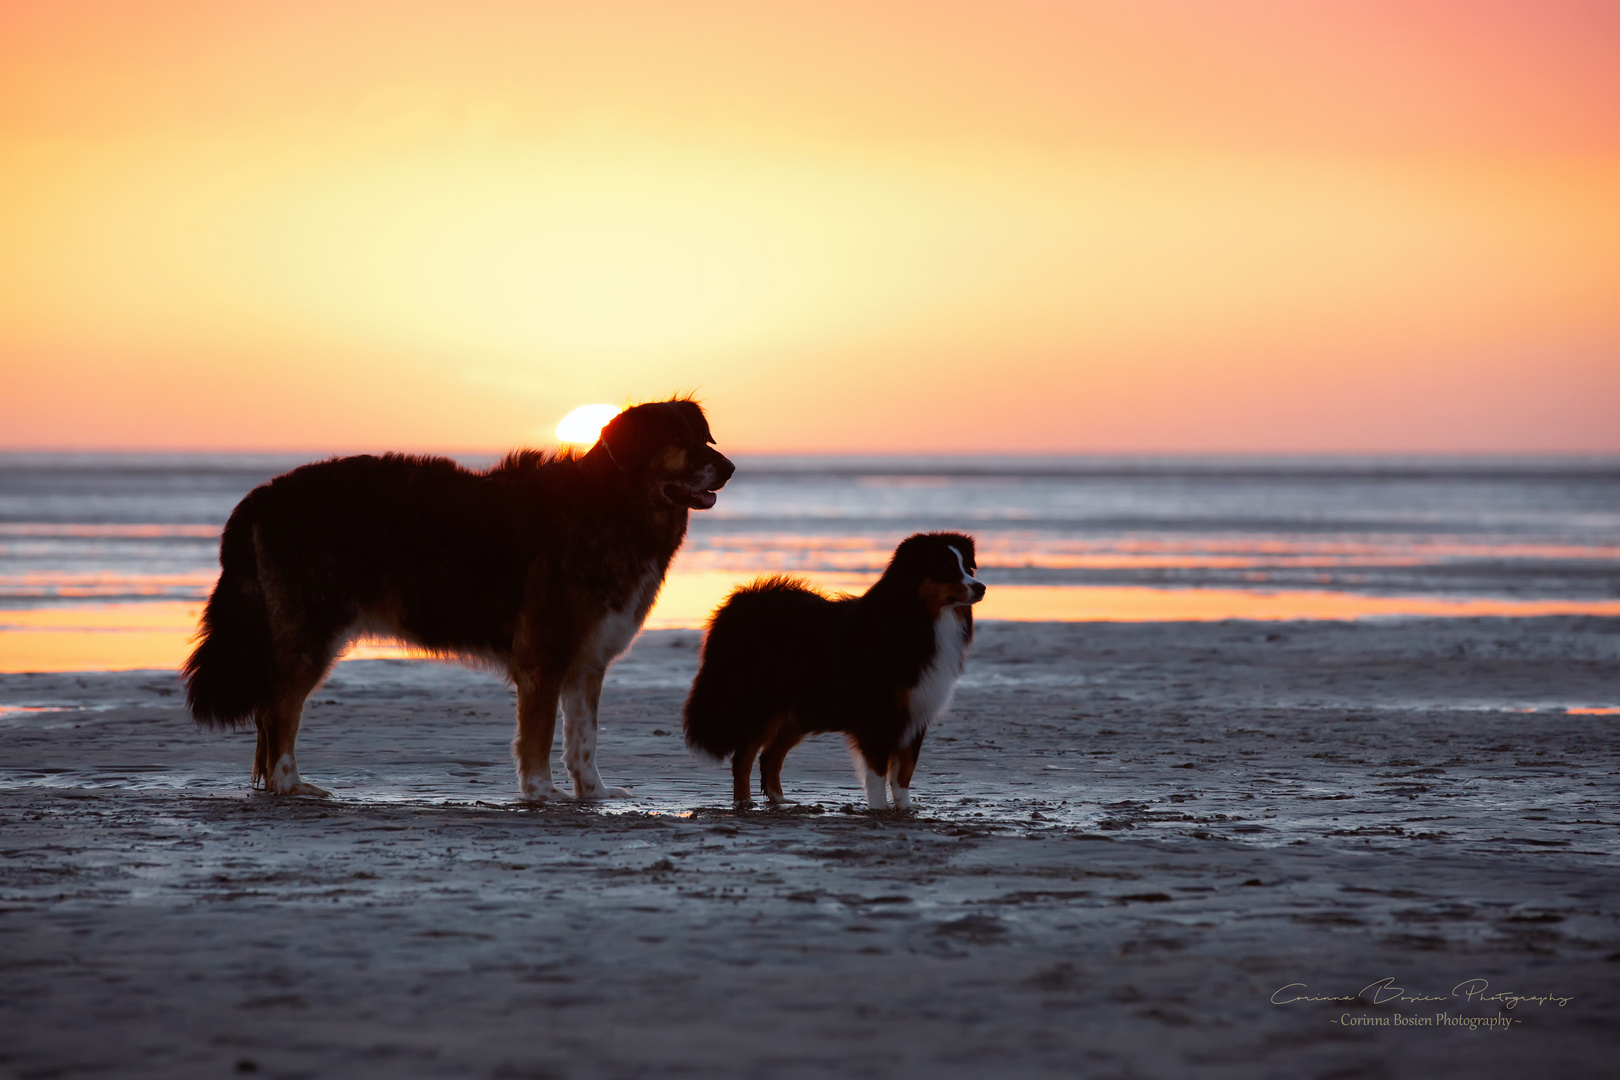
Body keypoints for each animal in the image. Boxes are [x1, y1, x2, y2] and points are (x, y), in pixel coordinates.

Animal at [183, 399, 735, 803]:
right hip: (311, 634)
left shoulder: (586, 661)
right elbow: (537, 739)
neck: (611, 504)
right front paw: (541, 794)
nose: (729, 467)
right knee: (279, 709)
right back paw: (291, 784)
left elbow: (583, 740)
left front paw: (594, 794)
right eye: (678, 442)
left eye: (703, 437)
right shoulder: (544, 659)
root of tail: (263, 494)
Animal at [686, 531, 984, 809]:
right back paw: (743, 804)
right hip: (761, 705)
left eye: (967, 568)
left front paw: (904, 810)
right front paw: (879, 810)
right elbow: (877, 772)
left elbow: (904, 773)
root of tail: (734, 604)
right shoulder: (877, 714)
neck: (916, 619)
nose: (981, 587)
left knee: (770, 756)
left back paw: (781, 802)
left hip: (799, 710)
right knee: (743, 757)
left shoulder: (916, 713)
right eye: (946, 568)